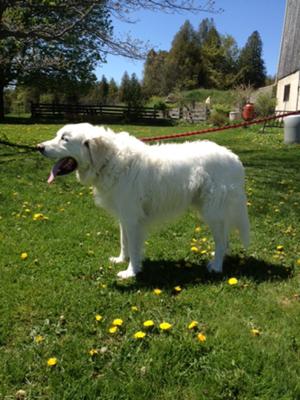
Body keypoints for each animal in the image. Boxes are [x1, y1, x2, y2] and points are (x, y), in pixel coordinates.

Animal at [37, 123, 250, 280]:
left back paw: (216, 266)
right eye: (57, 135)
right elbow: (124, 242)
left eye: (64, 139)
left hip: (212, 213)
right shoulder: (124, 216)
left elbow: (133, 245)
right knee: (225, 240)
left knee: (221, 241)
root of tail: (234, 158)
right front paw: (121, 260)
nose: (39, 147)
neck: (109, 160)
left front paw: (130, 272)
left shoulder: (133, 219)